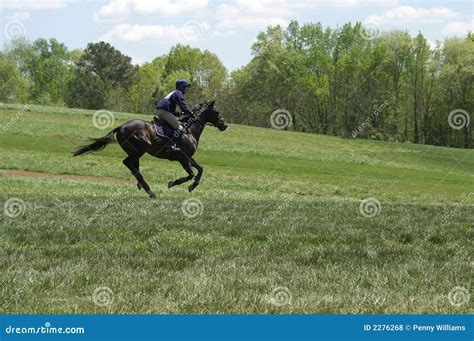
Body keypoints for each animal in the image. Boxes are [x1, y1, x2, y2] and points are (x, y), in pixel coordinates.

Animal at [73, 99, 228, 198]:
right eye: (217, 111)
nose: (225, 125)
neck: (189, 130)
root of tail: (121, 127)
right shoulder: (182, 157)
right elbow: (192, 173)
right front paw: (175, 183)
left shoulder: (187, 157)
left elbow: (200, 169)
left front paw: (192, 185)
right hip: (140, 149)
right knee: (128, 163)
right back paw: (149, 191)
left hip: (136, 152)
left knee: (133, 166)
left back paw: (142, 185)